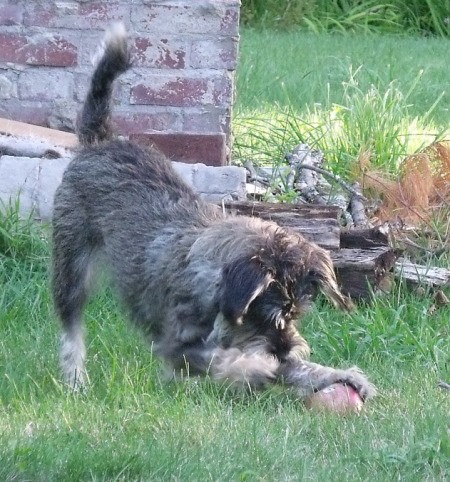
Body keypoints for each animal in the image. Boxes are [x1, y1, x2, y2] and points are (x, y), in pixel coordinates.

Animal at [51, 24, 376, 402]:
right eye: (267, 315)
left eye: (296, 313)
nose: (285, 350)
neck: (209, 280)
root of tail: (99, 141)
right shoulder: (179, 344)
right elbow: (225, 359)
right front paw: (257, 368)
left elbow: (295, 369)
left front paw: (343, 375)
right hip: (72, 266)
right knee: (71, 327)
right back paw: (76, 379)